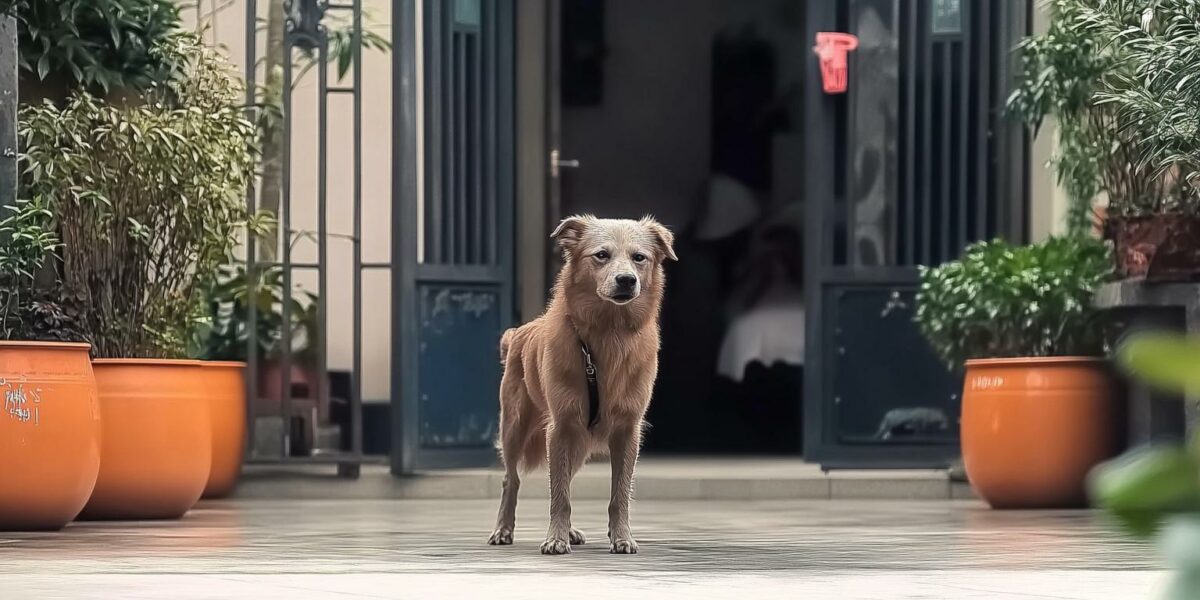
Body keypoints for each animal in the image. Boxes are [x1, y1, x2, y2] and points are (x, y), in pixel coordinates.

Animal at [484, 214, 676, 552]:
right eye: (601, 255)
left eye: (639, 257)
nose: (627, 280)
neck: (609, 333)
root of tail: (518, 333)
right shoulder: (560, 426)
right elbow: (558, 494)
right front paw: (556, 539)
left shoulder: (627, 430)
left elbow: (619, 494)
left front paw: (621, 537)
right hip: (516, 427)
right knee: (512, 479)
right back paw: (503, 530)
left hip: (578, 442)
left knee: (567, 478)